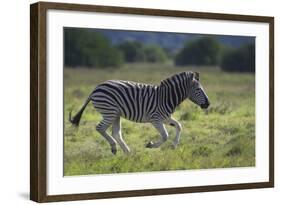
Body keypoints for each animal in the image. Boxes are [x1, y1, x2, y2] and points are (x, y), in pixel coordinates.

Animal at [69, 71, 209, 155]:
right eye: (198, 89)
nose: (208, 104)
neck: (165, 97)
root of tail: (96, 88)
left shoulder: (165, 117)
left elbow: (179, 126)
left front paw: (174, 146)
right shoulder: (156, 118)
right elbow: (165, 136)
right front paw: (150, 145)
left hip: (116, 114)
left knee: (116, 133)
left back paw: (127, 152)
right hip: (110, 111)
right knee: (100, 128)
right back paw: (114, 147)